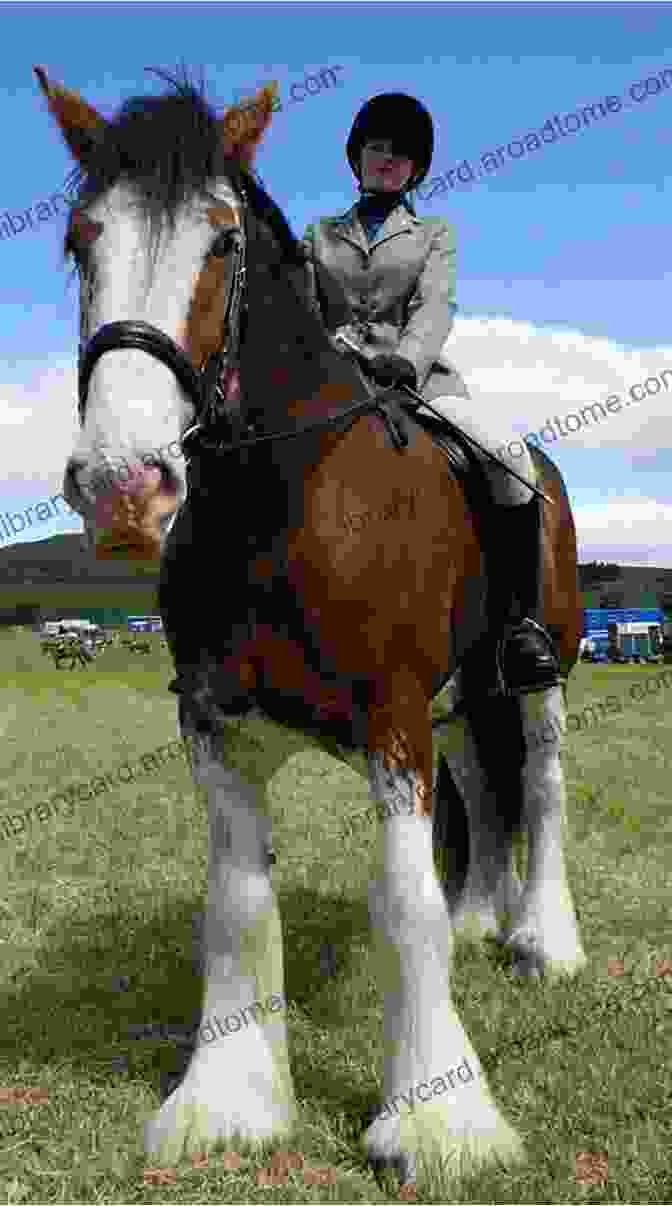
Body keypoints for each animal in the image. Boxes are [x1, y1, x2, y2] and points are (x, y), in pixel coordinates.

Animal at [36, 66, 583, 1186]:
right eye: (80, 240)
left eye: (221, 242)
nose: (123, 487)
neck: (283, 496)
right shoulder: (218, 724)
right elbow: (239, 904)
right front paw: (229, 1101)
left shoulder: (393, 715)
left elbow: (405, 901)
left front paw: (437, 1118)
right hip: (459, 697)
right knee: (484, 785)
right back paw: (483, 923)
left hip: (535, 671)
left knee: (542, 781)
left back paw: (547, 943)